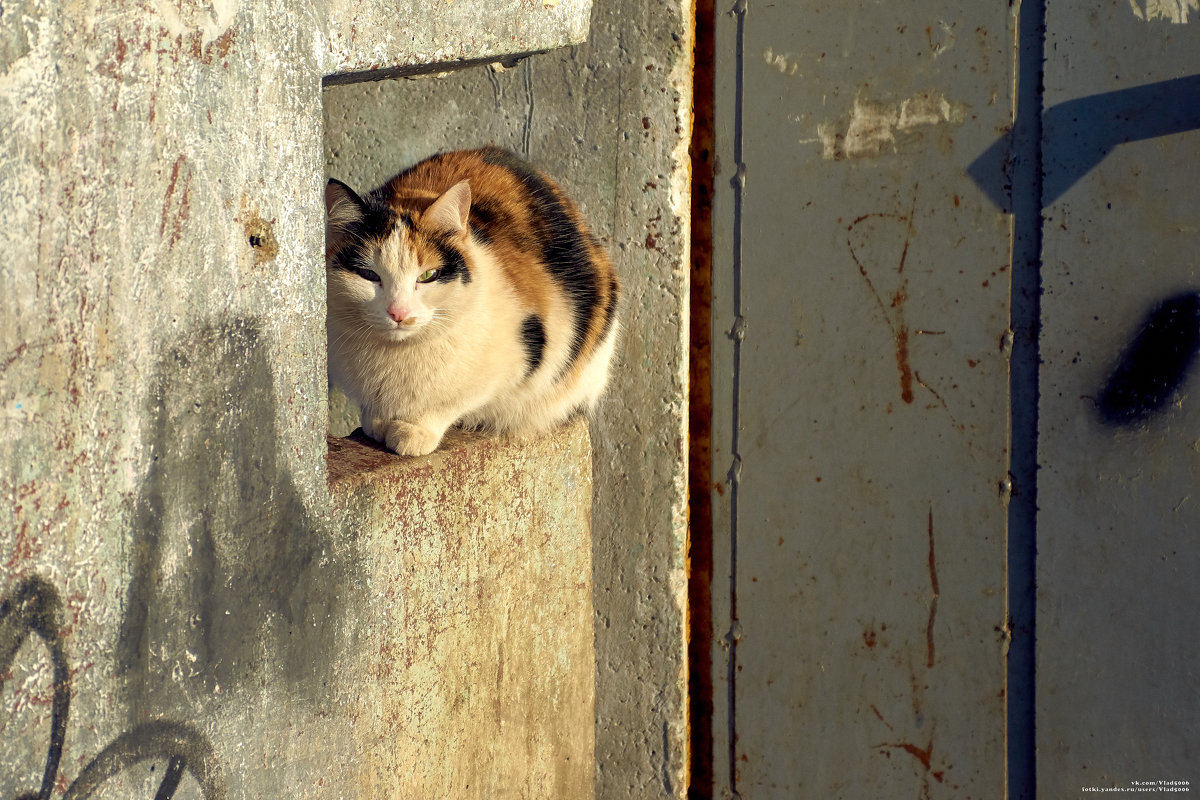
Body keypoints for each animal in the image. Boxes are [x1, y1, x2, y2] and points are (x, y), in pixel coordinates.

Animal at [326, 146, 619, 453]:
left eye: (427, 275)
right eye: (368, 274)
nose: (399, 313)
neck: (397, 355)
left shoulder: (515, 361)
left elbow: (452, 401)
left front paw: (413, 430)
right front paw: (378, 421)